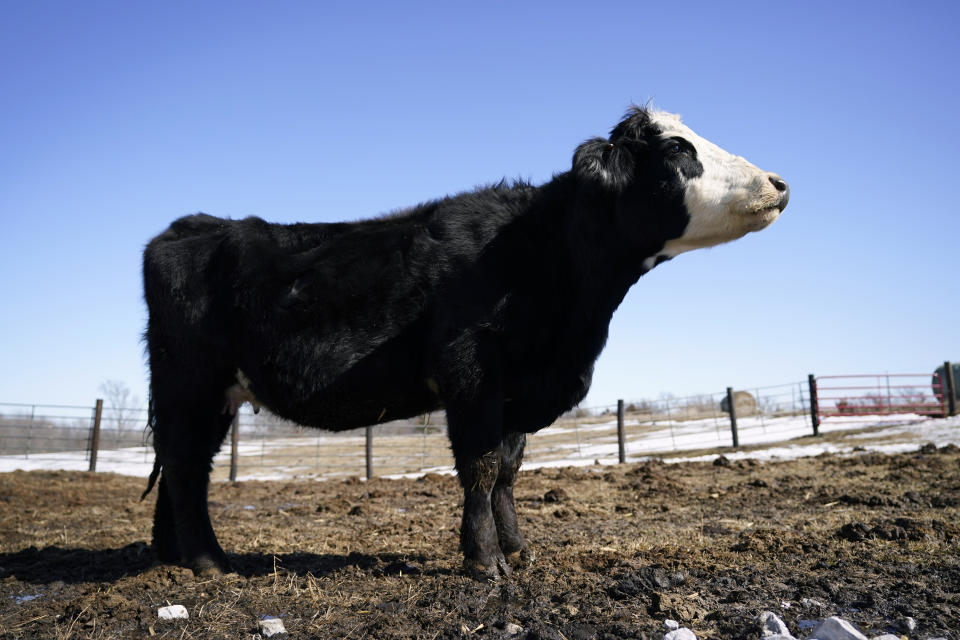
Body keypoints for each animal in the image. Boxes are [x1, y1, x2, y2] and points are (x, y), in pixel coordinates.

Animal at [141, 106, 788, 580]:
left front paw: (519, 548)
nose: (779, 183)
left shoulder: (519, 389)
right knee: (186, 465)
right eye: (678, 150)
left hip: (210, 394)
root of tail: (187, 226)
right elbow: (479, 465)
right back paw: (208, 561)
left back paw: (173, 555)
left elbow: (508, 470)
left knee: (183, 464)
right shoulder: (471, 373)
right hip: (189, 381)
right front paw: (485, 561)